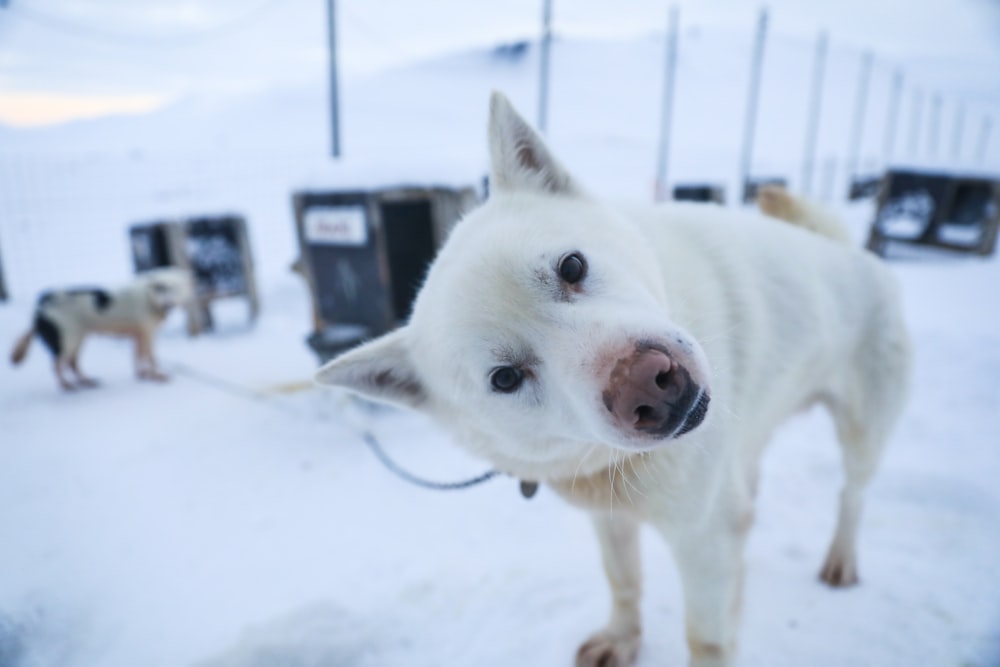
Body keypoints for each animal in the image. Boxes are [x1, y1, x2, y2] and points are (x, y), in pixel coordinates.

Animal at [11, 268, 195, 392]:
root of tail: (43, 302)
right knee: (57, 365)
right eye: (161, 288)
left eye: (177, 288)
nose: (168, 302)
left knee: (72, 364)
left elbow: (138, 358)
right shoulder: (147, 335)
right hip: (68, 341)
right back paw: (67, 386)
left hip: (78, 340)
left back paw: (86, 382)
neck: (150, 298)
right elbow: (151, 358)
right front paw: (156, 376)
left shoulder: (138, 336)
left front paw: (142, 375)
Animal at [316, 94, 912, 667]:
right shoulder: (612, 519)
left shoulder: (704, 536)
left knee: (852, 494)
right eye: (505, 378)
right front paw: (622, 640)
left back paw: (840, 559)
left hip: (862, 433)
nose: (646, 383)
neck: (615, 466)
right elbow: (623, 580)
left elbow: (706, 639)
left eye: (572, 266)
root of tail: (849, 251)